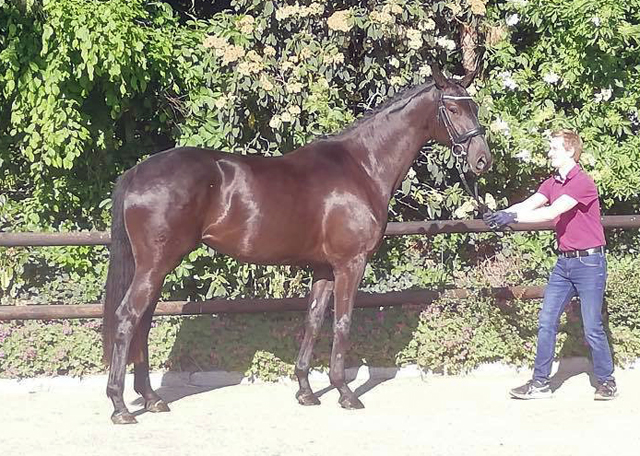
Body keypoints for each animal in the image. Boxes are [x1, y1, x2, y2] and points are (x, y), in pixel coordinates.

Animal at [102, 64, 492, 424]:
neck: (362, 167)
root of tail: (137, 172)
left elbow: (313, 320)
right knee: (128, 317)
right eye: (452, 108)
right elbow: (342, 322)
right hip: (156, 265)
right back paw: (120, 406)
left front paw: (305, 390)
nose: (481, 159)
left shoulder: (323, 269)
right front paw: (345, 392)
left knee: (143, 322)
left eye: (473, 106)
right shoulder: (350, 264)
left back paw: (151, 399)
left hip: (153, 268)